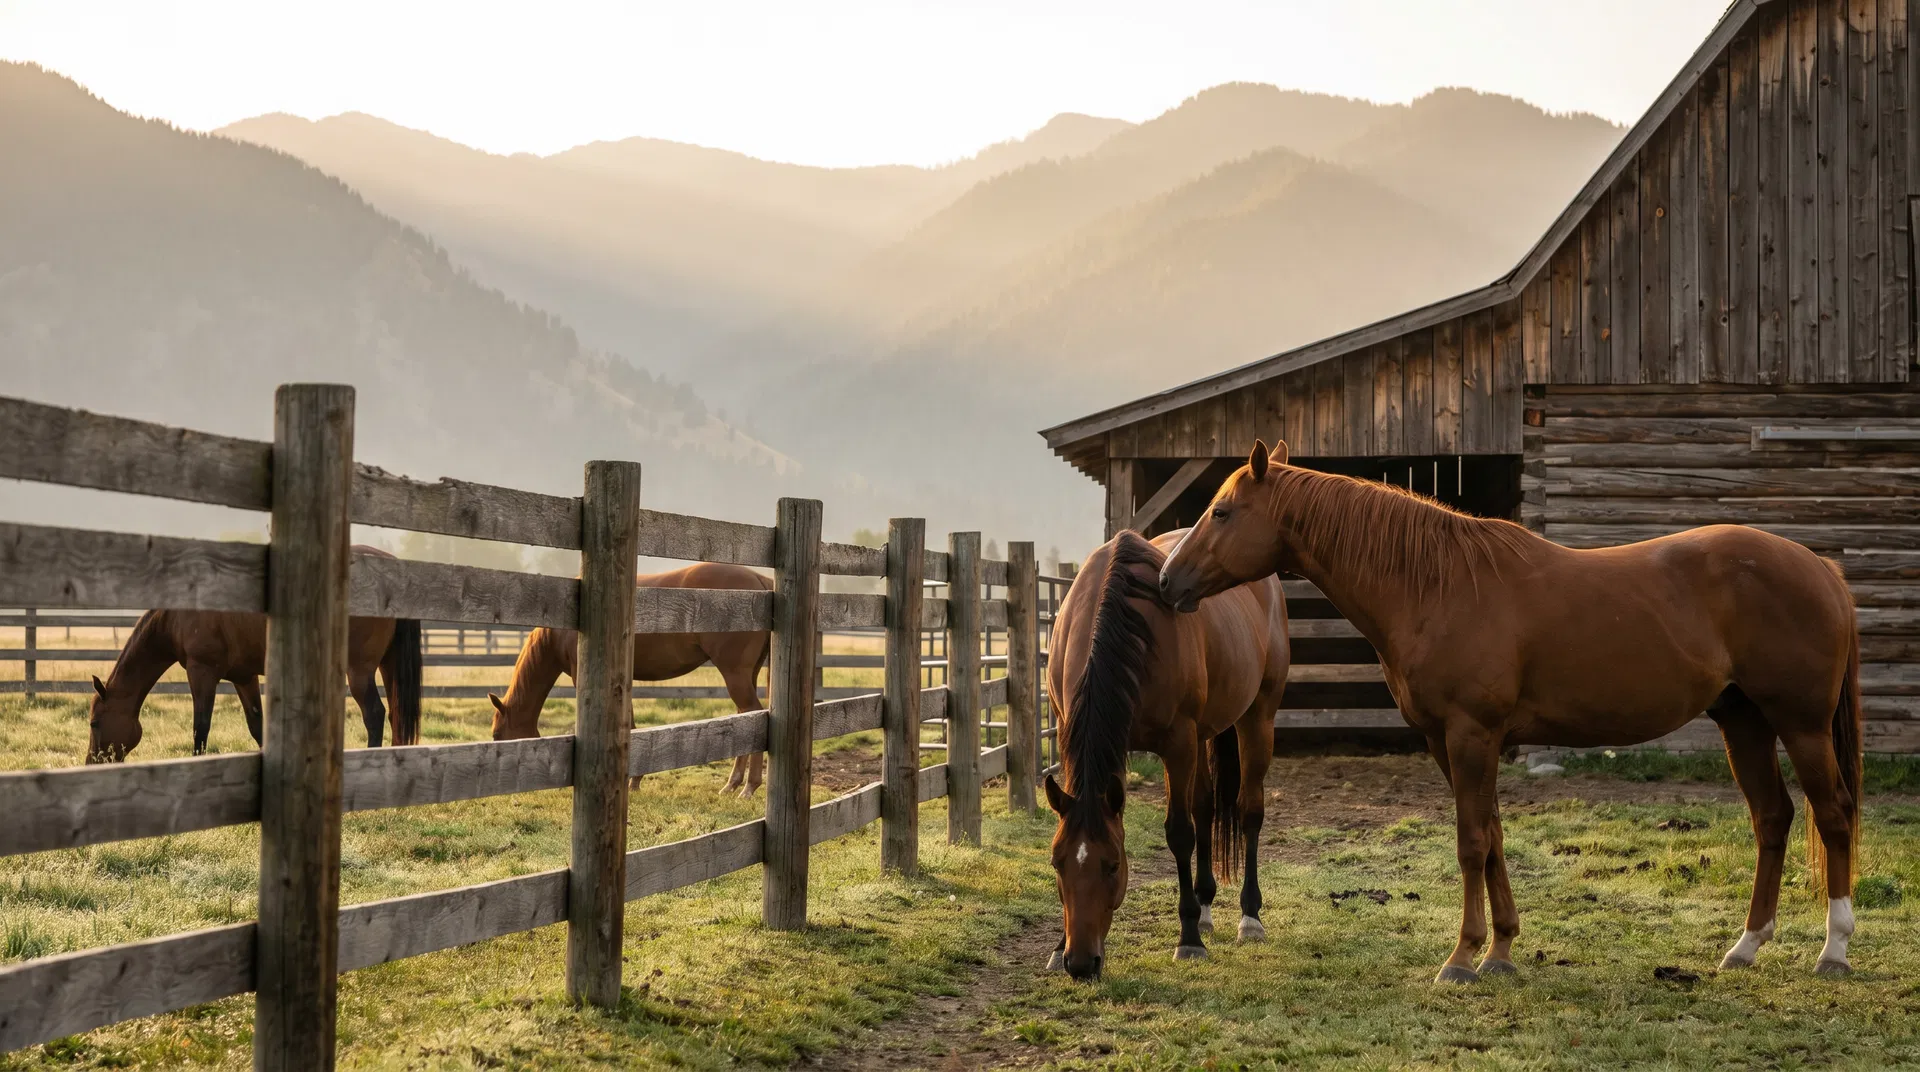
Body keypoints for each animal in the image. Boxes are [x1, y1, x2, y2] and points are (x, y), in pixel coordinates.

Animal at [86, 548, 423, 762]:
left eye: (94, 723)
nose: (92, 762)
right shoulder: (243, 677)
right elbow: (257, 727)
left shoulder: (202, 672)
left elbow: (200, 726)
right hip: (389, 666)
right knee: (396, 714)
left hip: (359, 671)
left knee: (375, 714)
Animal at [487, 562, 773, 795]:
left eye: (497, 735)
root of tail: (759, 580)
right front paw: (635, 780)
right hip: (747, 675)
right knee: (745, 717)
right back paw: (732, 783)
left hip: (734, 674)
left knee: (751, 712)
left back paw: (748, 787)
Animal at [1043, 527, 1288, 981]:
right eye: (1057, 864)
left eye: (1113, 865)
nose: (1081, 963)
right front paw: (1055, 946)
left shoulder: (1179, 743)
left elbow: (1179, 833)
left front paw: (1188, 939)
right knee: (1206, 807)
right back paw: (1207, 908)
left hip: (1257, 718)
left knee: (1249, 811)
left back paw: (1249, 918)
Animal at [1159, 440, 1863, 982]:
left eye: (1221, 511)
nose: (1168, 581)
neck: (1436, 585)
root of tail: (1822, 570)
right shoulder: (1448, 741)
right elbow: (1494, 836)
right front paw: (1500, 950)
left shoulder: (1472, 735)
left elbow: (1472, 842)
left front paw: (1462, 958)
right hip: (1743, 721)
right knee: (1773, 818)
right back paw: (1746, 947)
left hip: (1800, 725)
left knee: (1832, 816)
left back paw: (1833, 952)